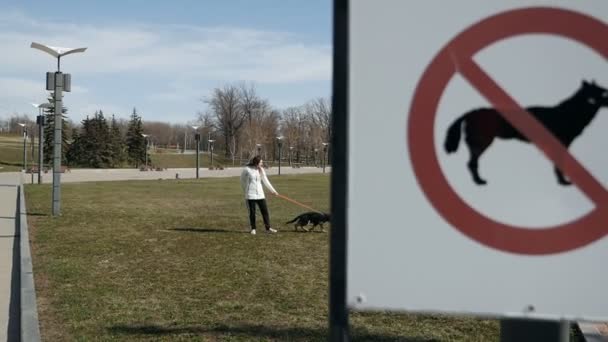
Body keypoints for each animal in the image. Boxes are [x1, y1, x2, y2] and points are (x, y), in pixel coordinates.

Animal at [442, 80, 608, 186]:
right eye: (604, 93)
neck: (569, 112)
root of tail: (470, 113)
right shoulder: (561, 144)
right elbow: (559, 165)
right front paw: (563, 182)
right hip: (483, 142)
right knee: (472, 163)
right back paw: (479, 182)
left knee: (471, 163)